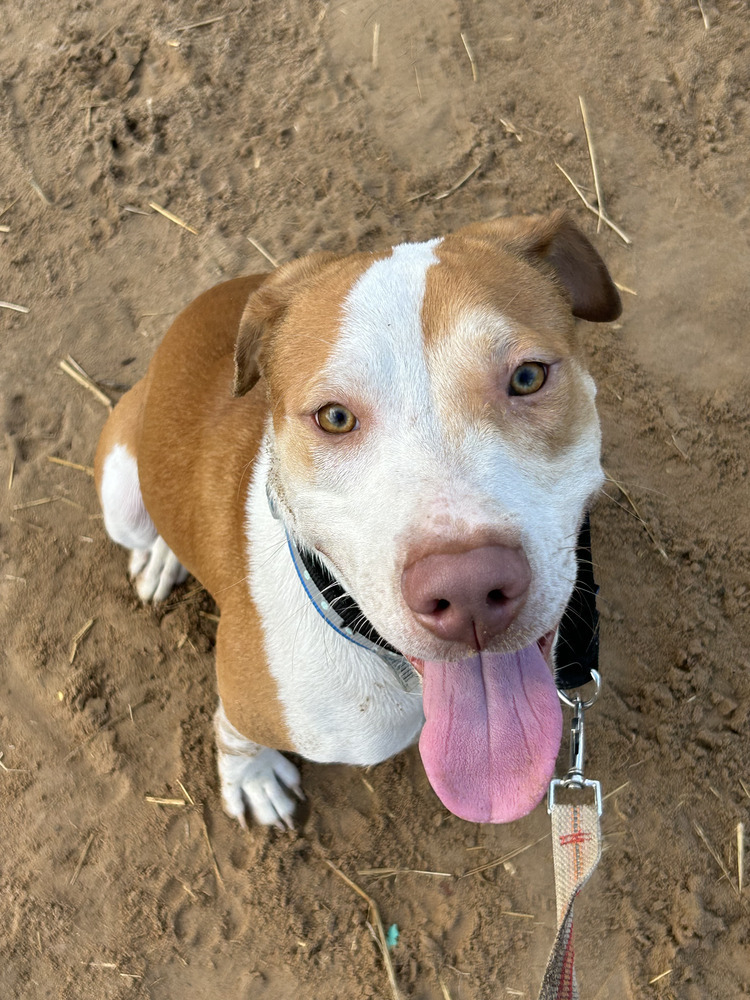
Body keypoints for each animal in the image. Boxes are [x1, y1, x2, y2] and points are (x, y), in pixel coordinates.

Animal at [94, 211, 624, 828]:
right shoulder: (248, 702)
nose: (468, 589)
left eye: (528, 378)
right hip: (121, 491)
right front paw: (252, 778)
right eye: (335, 417)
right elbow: (233, 731)